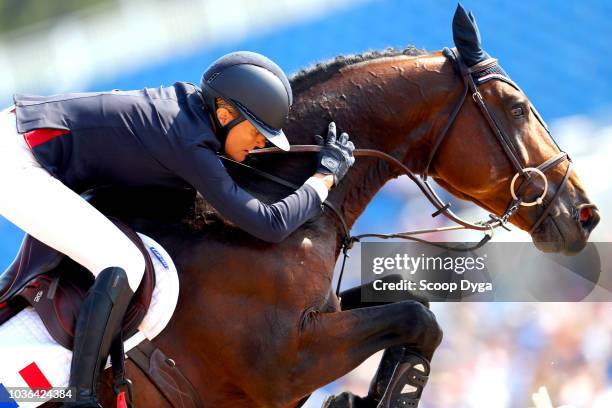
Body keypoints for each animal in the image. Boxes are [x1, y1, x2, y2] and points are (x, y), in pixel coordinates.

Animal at [52, 3, 596, 408]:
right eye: (518, 108)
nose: (585, 214)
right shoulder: (289, 362)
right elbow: (417, 318)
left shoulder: (322, 319)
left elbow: (409, 300)